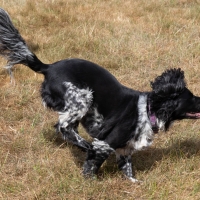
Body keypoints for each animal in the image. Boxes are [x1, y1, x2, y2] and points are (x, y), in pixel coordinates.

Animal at [0, 8, 200, 183]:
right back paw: (83, 145)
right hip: (82, 97)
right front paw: (91, 181)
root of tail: (48, 67)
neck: (149, 110)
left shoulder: (124, 150)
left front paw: (135, 183)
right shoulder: (106, 143)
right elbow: (93, 164)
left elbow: (128, 171)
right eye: (191, 97)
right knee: (63, 127)